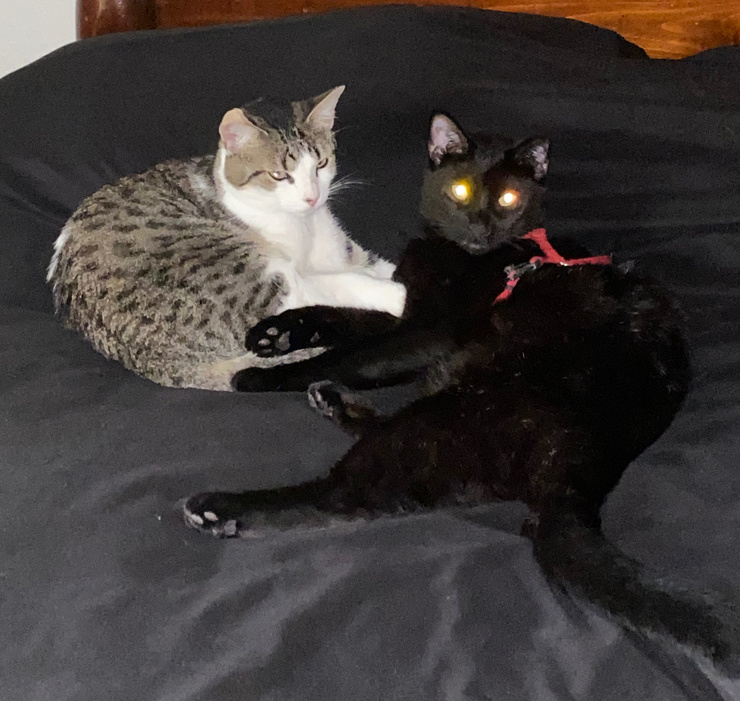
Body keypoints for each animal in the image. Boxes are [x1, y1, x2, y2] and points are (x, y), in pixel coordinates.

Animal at [47, 86, 406, 390]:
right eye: (279, 175)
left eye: (321, 163)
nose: (312, 197)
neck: (305, 226)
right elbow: (349, 284)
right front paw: (398, 291)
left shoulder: (346, 253)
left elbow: (378, 267)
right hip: (244, 276)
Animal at [183, 114, 736, 665]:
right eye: (460, 189)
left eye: (509, 198)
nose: (480, 224)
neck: (469, 256)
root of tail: (588, 464)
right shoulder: (409, 313)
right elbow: (342, 316)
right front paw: (278, 331)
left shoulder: (428, 334)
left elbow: (355, 353)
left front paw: (261, 375)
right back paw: (334, 401)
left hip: (452, 410)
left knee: (347, 497)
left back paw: (223, 509)